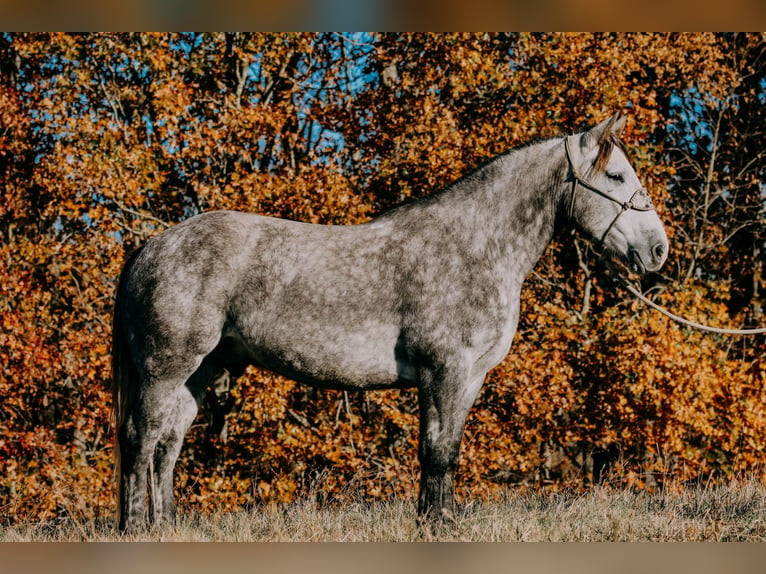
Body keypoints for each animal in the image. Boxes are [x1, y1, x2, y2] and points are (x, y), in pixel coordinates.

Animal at [111, 113, 668, 536]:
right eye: (616, 177)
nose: (658, 249)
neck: (475, 246)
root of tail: (152, 246)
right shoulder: (445, 372)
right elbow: (436, 453)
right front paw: (436, 526)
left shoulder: (467, 379)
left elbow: (447, 452)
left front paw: (440, 521)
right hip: (166, 369)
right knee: (141, 438)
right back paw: (135, 528)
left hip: (200, 372)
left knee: (168, 444)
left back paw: (165, 527)